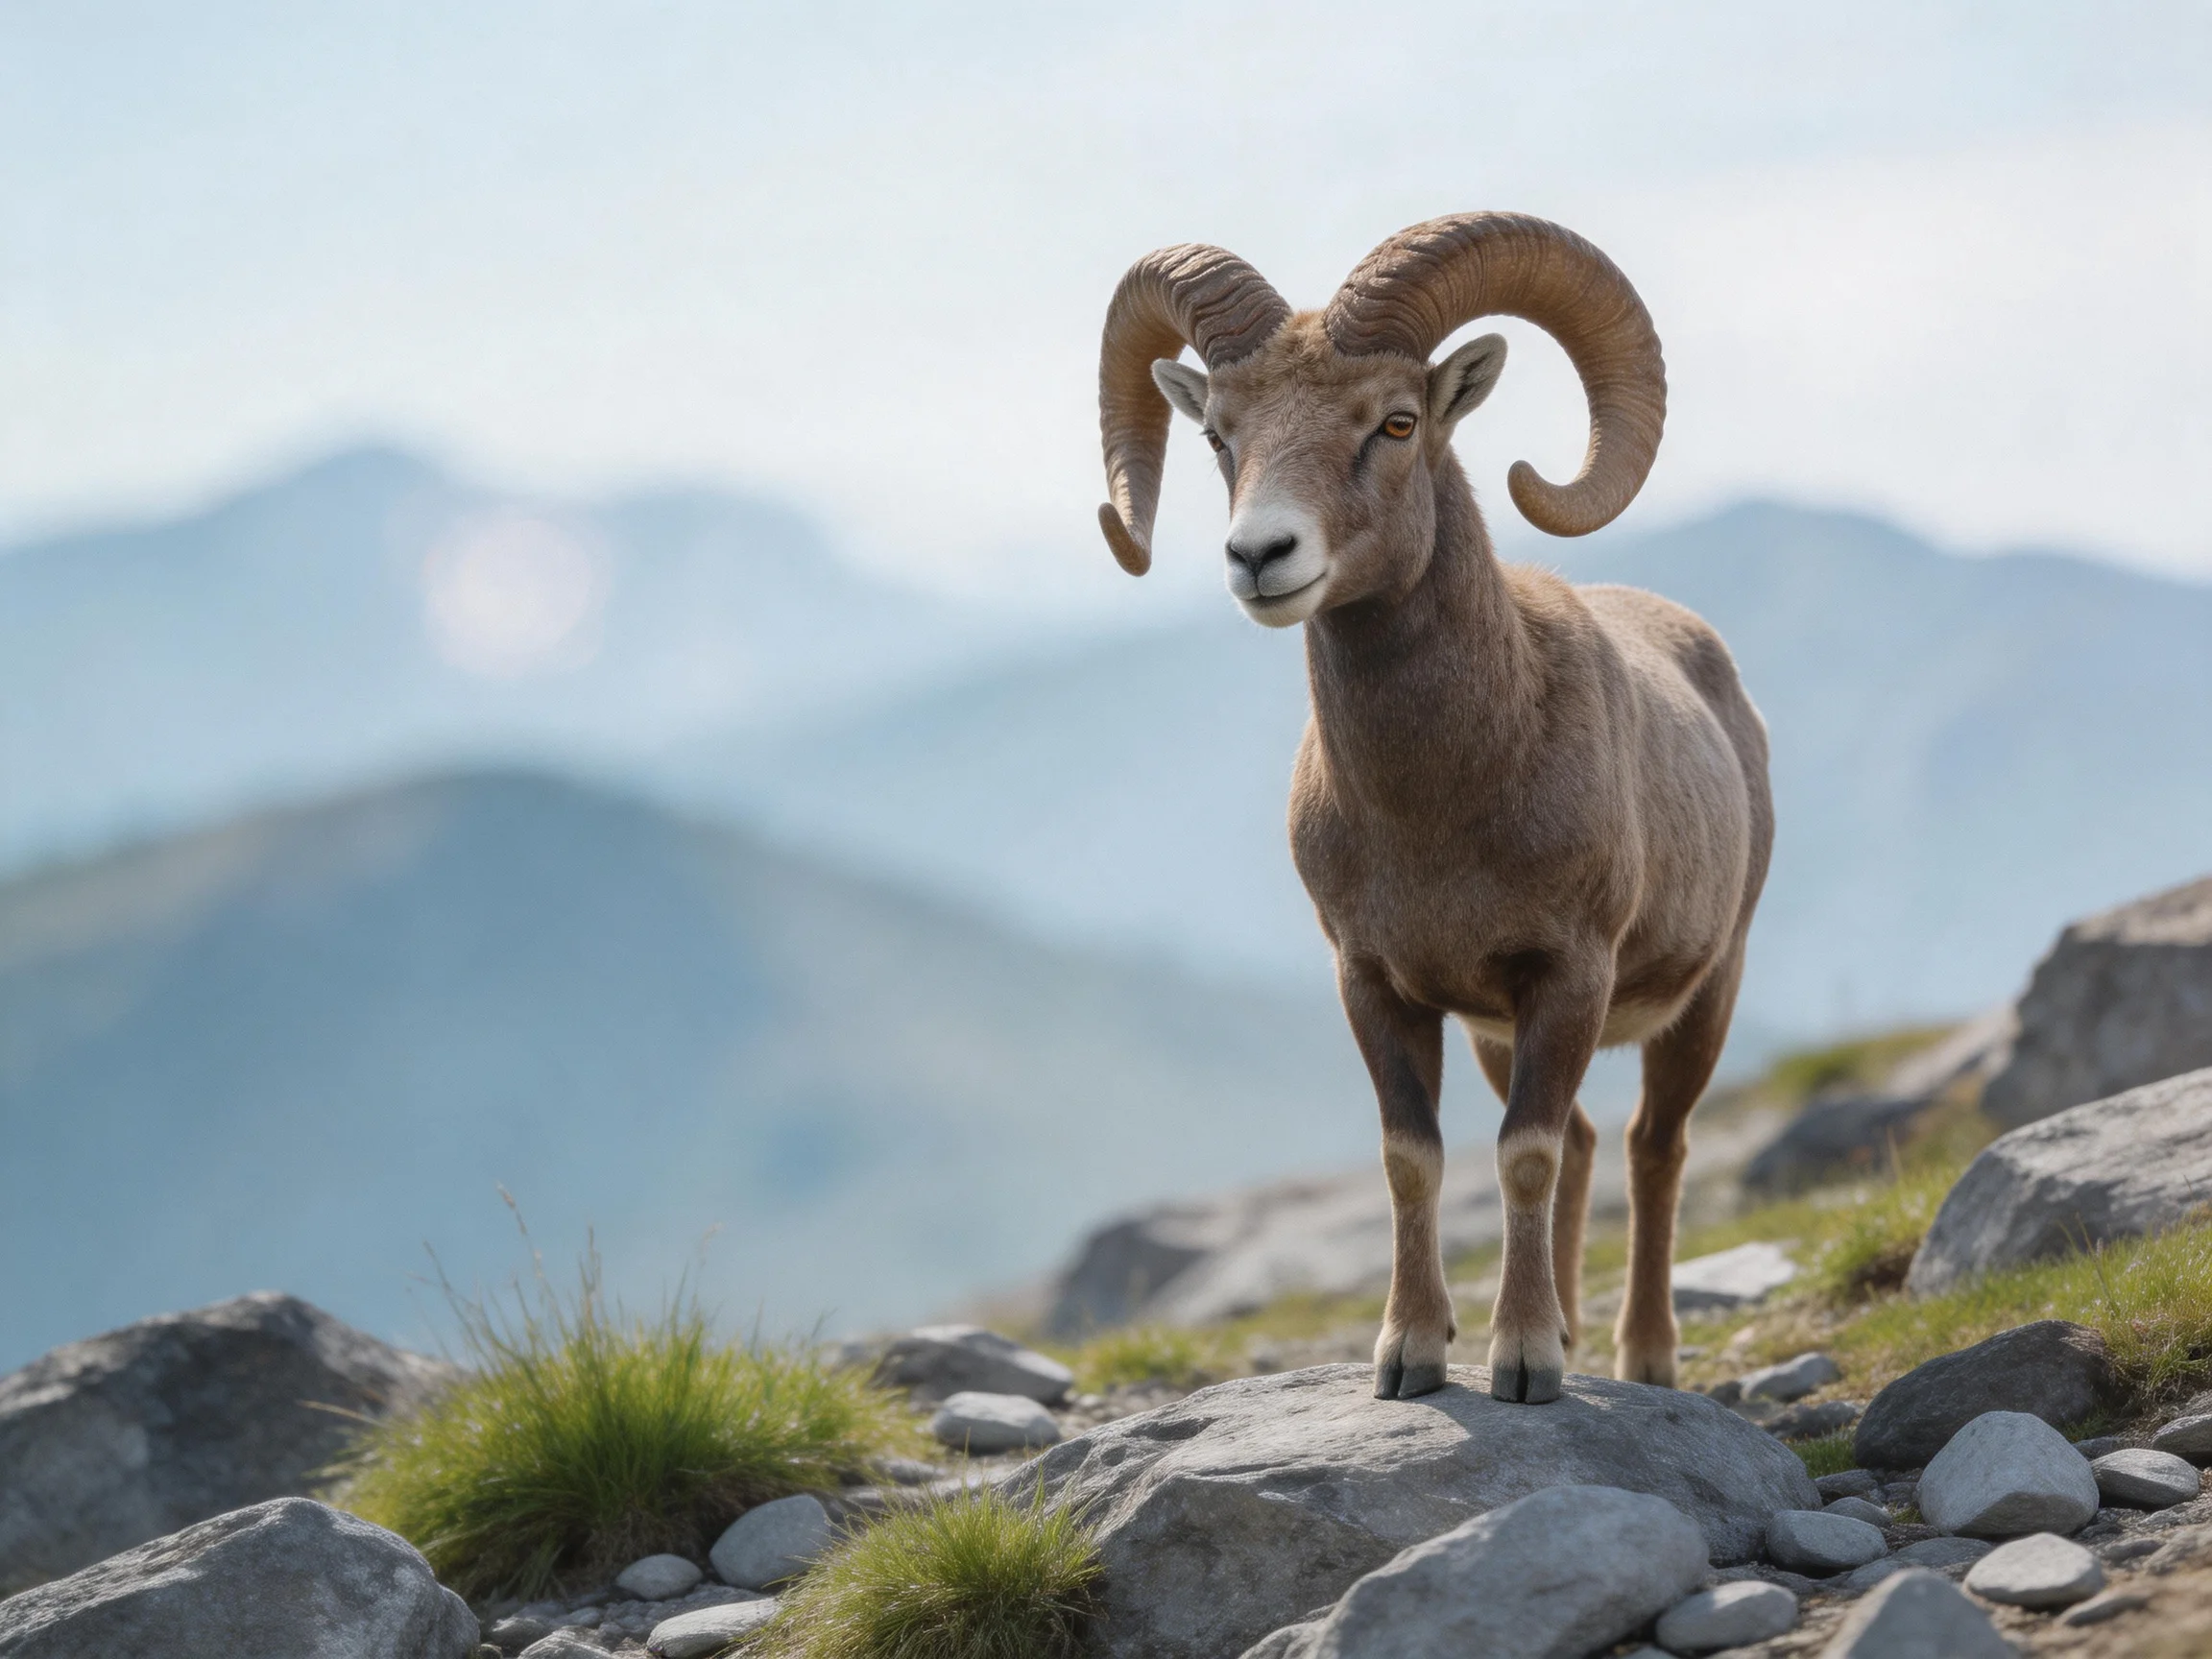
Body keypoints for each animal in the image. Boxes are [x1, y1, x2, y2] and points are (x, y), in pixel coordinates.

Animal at [1094, 213, 1771, 1404]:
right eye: (1221, 434)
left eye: (1395, 422)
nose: (1260, 556)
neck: (1439, 809)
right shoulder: (1378, 986)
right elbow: (1416, 1158)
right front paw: (1411, 1356)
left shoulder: (1567, 976)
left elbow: (1523, 1154)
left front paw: (1525, 1365)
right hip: (1506, 1033)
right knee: (1590, 1143)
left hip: (1702, 996)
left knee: (1651, 1147)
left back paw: (1640, 1358)